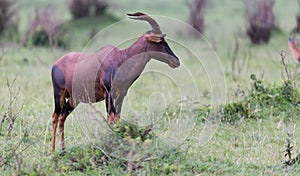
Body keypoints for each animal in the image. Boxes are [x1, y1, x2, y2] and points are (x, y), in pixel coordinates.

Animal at [50, 12, 179, 153]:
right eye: (161, 42)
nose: (176, 61)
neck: (121, 58)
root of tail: (56, 64)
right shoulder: (108, 94)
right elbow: (110, 119)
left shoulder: (121, 95)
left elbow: (117, 118)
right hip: (59, 94)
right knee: (55, 116)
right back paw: (52, 151)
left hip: (74, 98)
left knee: (62, 117)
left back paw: (63, 149)